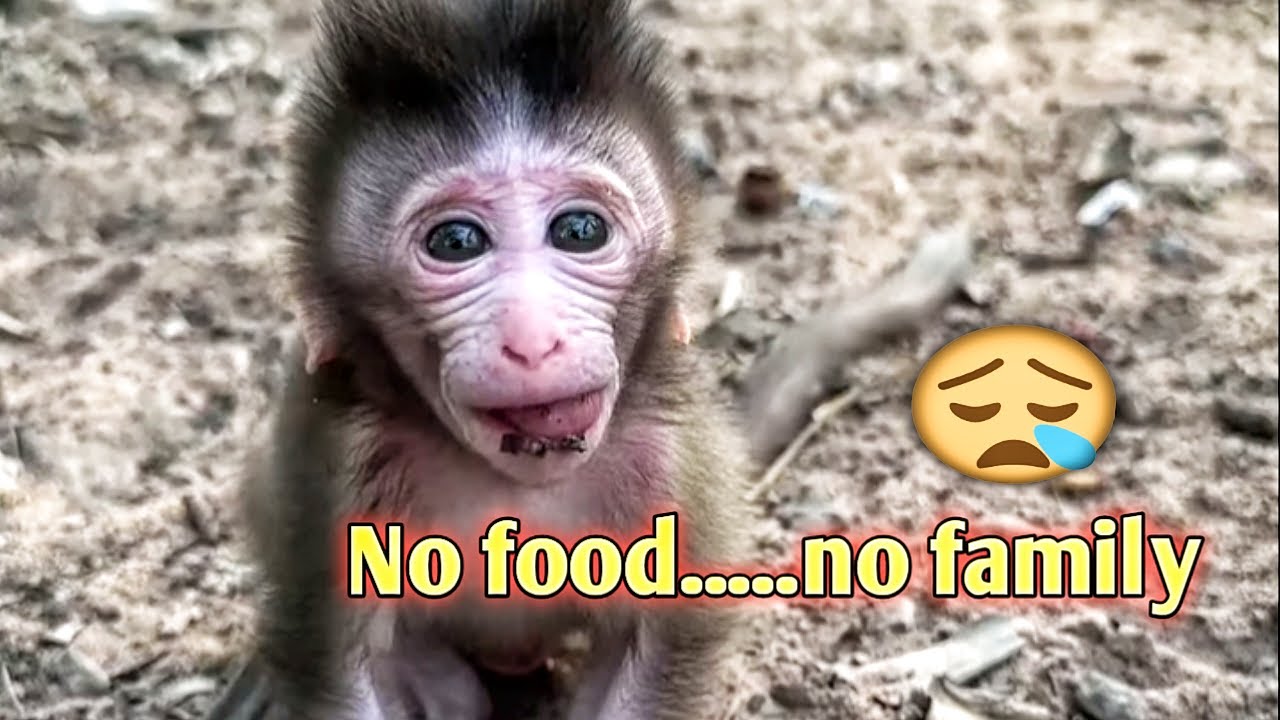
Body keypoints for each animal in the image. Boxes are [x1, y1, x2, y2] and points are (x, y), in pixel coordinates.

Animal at [202, 1, 971, 718]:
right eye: (456, 242)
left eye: (579, 230)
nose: (533, 339)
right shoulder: (332, 457)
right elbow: (336, 662)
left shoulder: (672, 464)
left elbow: (659, 648)